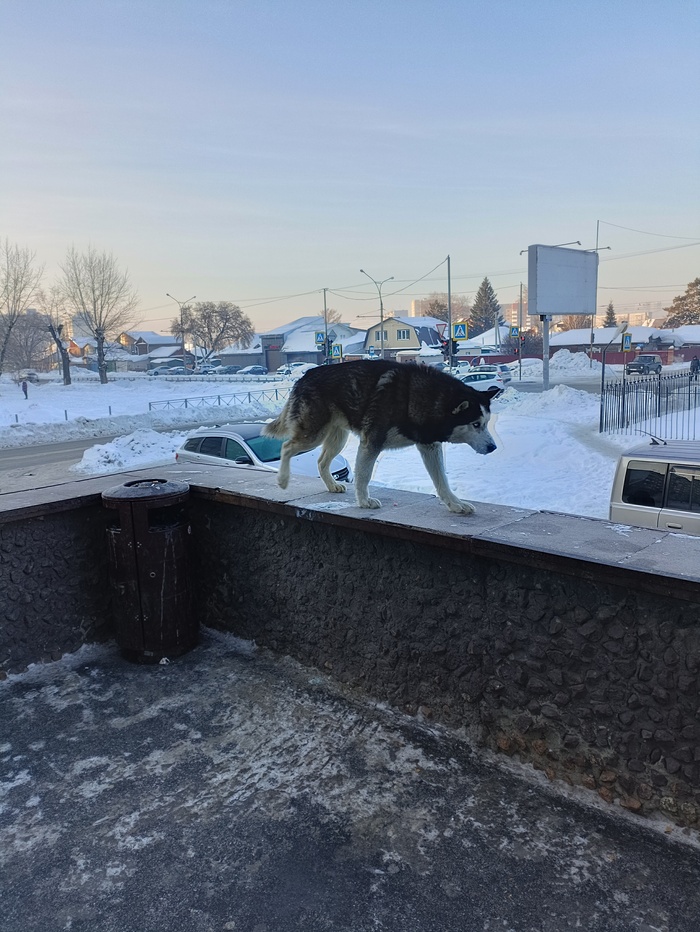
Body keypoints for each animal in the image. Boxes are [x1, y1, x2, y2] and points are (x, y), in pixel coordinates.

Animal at [263, 359, 499, 514]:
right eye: (475, 424)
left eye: (486, 423)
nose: (493, 447)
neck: (419, 397)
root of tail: (304, 376)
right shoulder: (371, 442)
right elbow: (363, 476)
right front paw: (363, 501)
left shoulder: (429, 446)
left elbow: (442, 480)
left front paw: (454, 504)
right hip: (313, 434)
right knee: (287, 447)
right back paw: (283, 479)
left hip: (337, 438)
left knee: (321, 461)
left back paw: (331, 485)